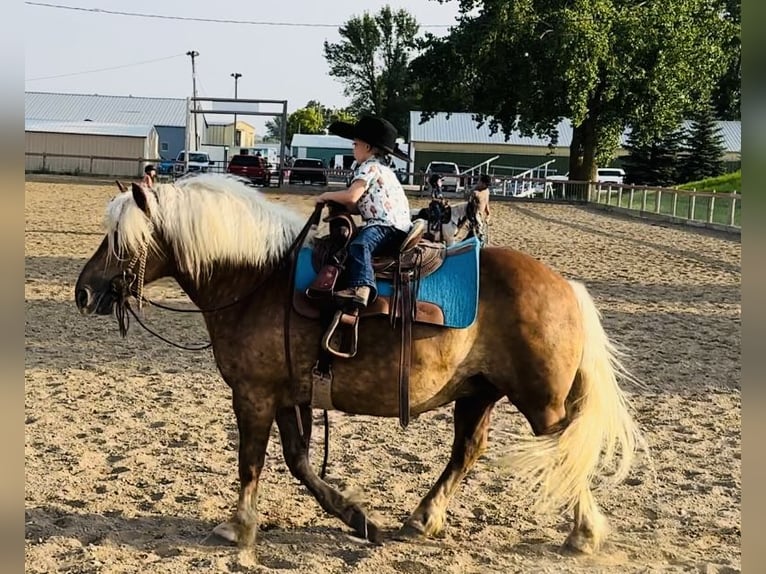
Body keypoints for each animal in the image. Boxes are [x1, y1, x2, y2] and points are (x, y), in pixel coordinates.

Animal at [73, 176, 648, 560]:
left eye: (119, 239)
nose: (83, 291)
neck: (256, 280)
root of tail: (565, 287)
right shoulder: (289, 395)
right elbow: (300, 462)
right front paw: (356, 517)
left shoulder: (253, 394)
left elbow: (252, 462)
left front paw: (238, 527)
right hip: (478, 393)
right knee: (467, 451)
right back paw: (422, 519)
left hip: (539, 401)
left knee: (564, 452)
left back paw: (583, 533)